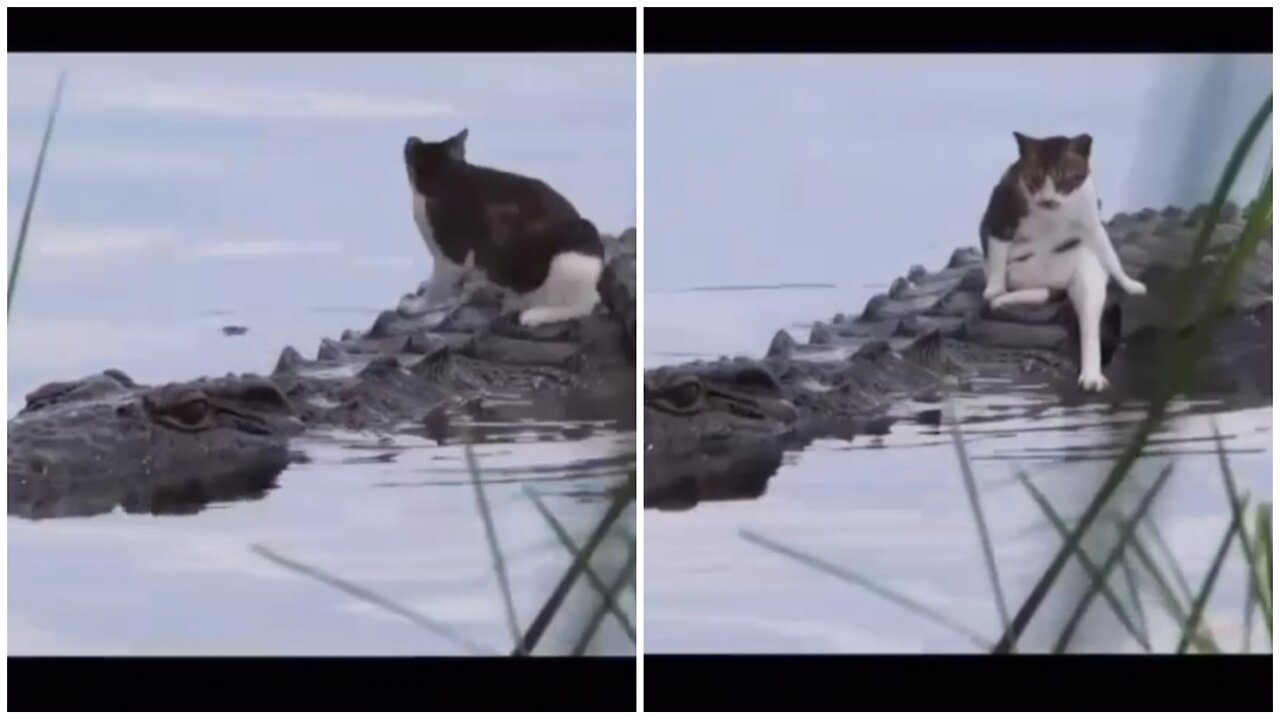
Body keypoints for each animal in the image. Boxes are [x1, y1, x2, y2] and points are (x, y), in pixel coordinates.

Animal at [394, 130, 604, 326]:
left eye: (416, 148)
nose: (410, 138)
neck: (450, 174)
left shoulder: (450, 254)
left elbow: (437, 287)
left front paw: (417, 306)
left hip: (569, 261)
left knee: (582, 305)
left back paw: (535, 314)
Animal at [977, 133, 1152, 392]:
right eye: (1035, 177)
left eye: (1062, 176)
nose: (1048, 199)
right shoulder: (1002, 216)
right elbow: (997, 256)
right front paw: (994, 290)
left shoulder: (1090, 220)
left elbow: (1109, 253)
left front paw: (1129, 283)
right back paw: (1002, 298)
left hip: (1085, 270)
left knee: (1088, 322)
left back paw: (1092, 376)